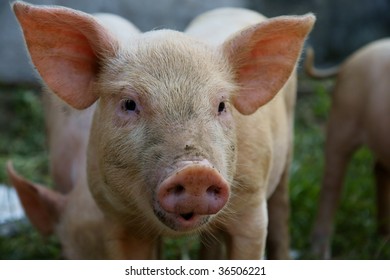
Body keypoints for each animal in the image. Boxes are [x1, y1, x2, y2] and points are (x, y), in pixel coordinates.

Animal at [12, 1, 316, 260]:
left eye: (221, 105)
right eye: (129, 104)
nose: (195, 172)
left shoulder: (252, 208)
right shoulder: (117, 218)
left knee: (280, 209)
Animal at [304, 38, 390, 258]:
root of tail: (352, 57)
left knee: (379, 169)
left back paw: (384, 236)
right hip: (342, 118)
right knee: (331, 183)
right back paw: (321, 254)